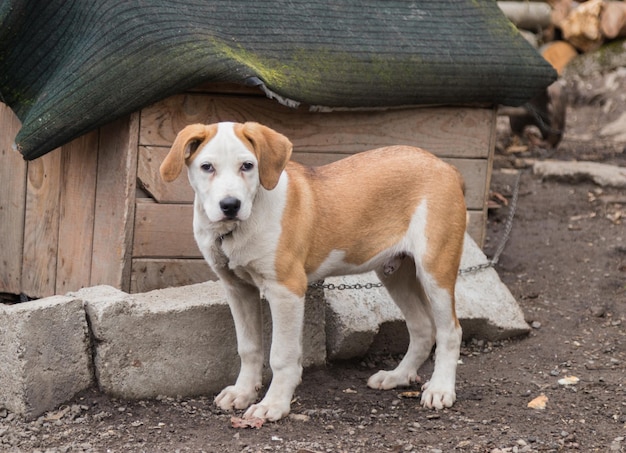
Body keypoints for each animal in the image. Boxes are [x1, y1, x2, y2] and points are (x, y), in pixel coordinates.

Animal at [158, 121, 466, 420]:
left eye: (247, 165)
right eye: (207, 167)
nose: (230, 205)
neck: (238, 227)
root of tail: (445, 166)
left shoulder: (286, 289)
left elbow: (281, 356)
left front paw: (274, 405)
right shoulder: (237, 289)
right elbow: (248, 347)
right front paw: (242, 392)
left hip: (435, 268)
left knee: (450, 330)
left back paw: (440, 389)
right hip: (395, 273)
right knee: (423, 326)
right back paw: (398, 376)